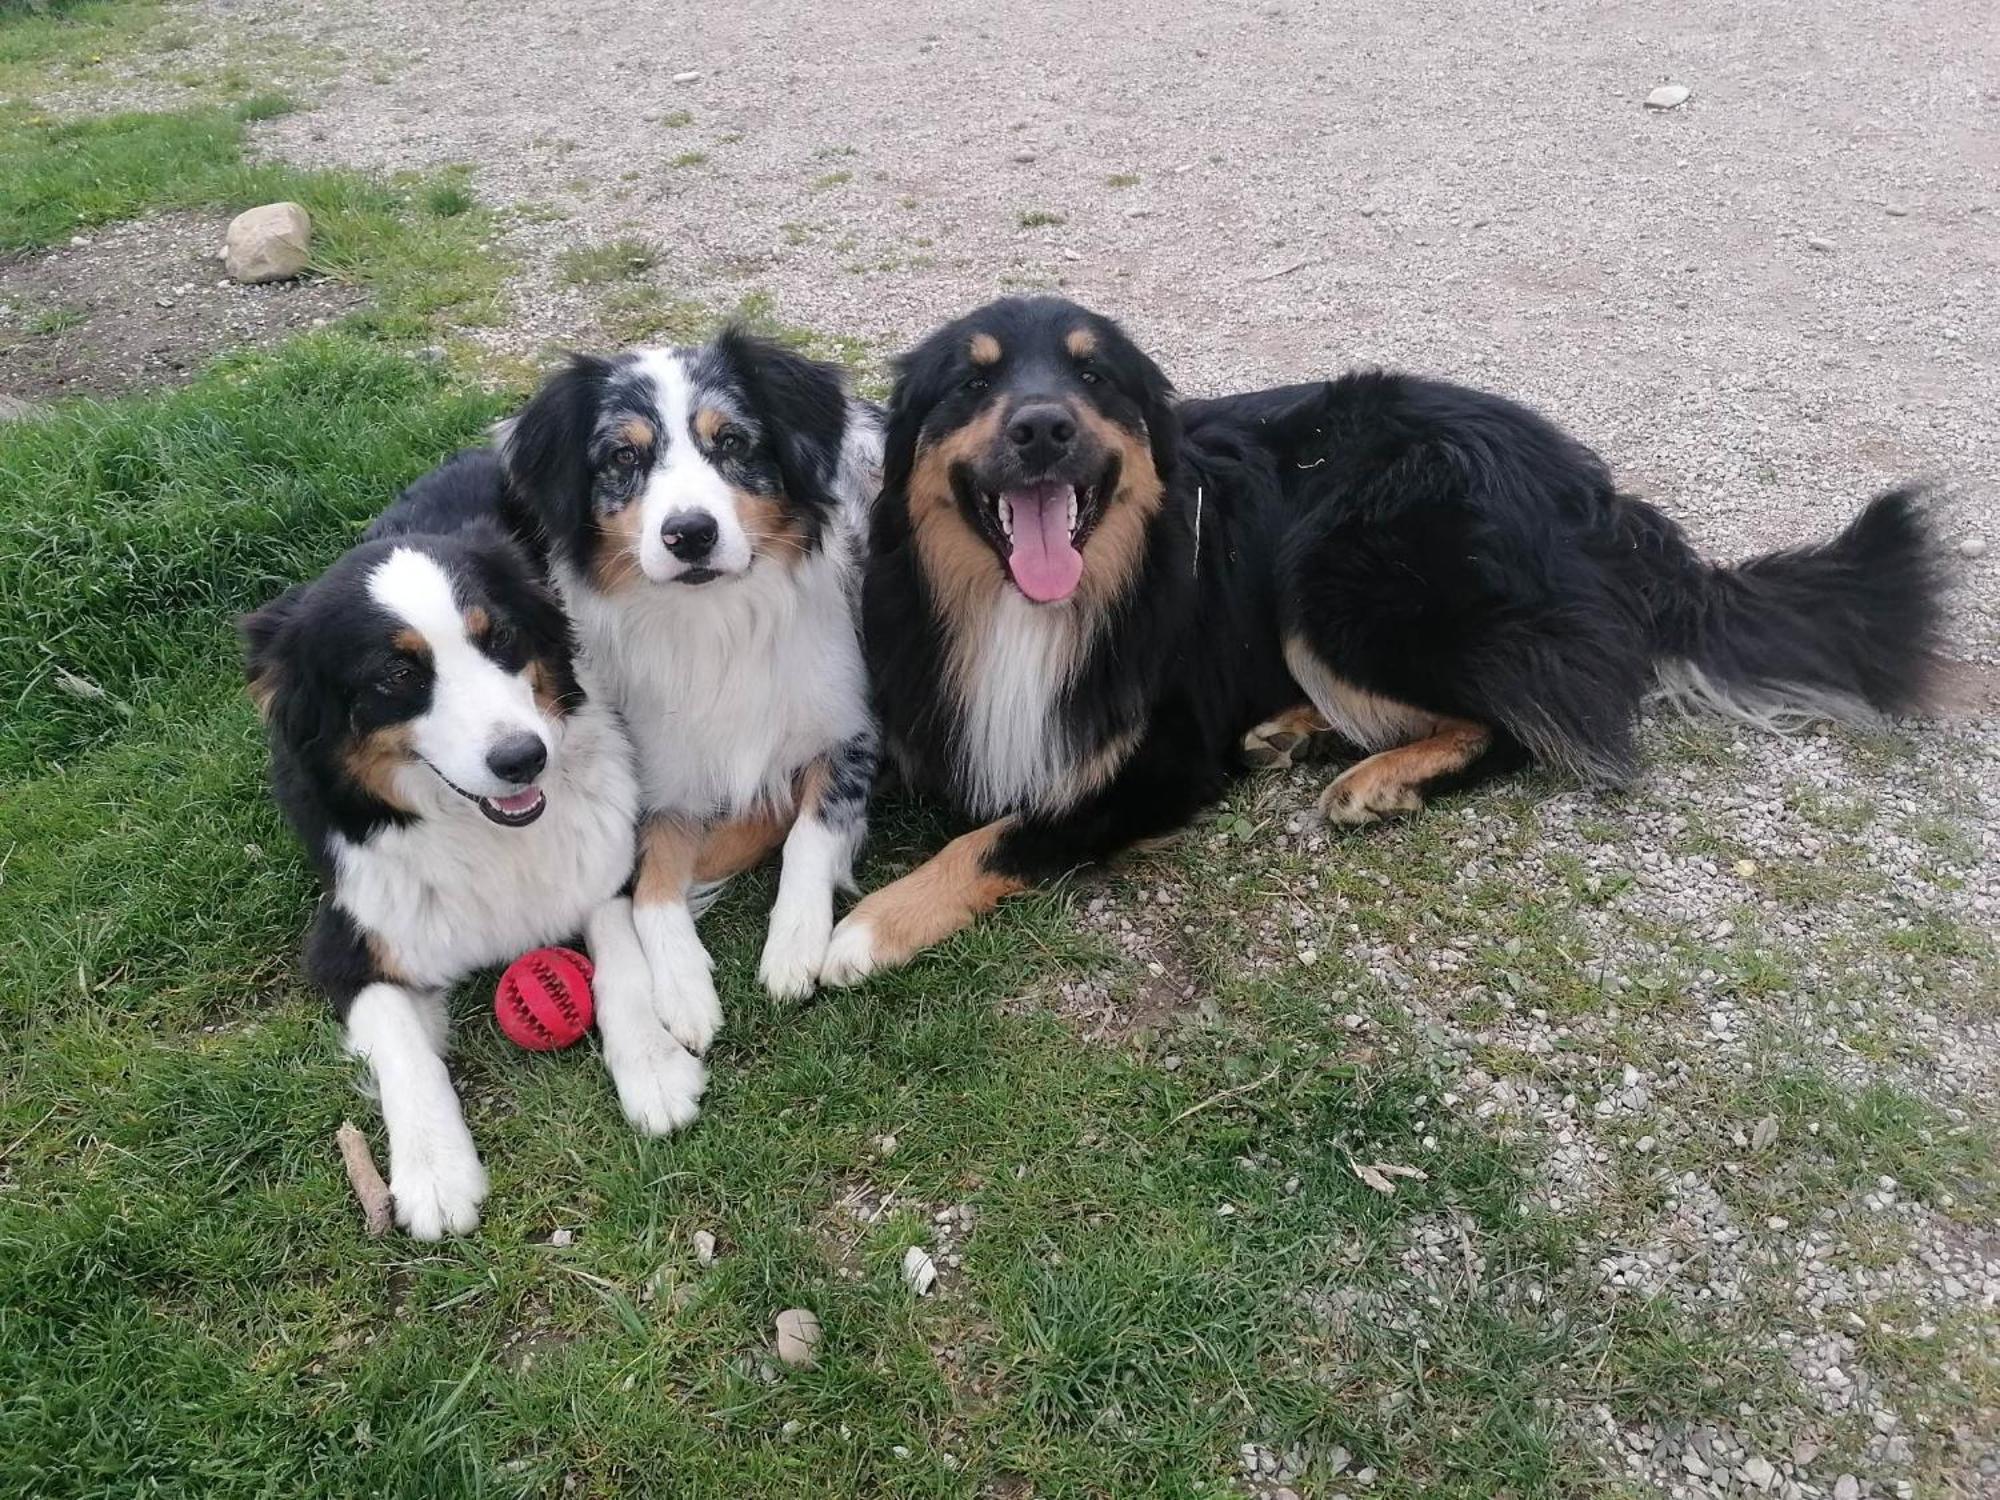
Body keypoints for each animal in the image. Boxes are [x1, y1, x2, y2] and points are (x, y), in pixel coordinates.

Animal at [247, 450, 708, 1248]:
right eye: (398, 675)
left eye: (500, 639)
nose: (523, 759)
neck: (486, 833)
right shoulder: (346, 943)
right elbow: (404, 1051)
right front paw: (435, 1173)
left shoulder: (608, 862)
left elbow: (620, 965)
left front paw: (653, 1070)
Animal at [500, 328, 884, 1048]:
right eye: (624, 455)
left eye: (731, 441)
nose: (690, 533)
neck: (718, 625)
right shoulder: (659, 779)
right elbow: (651, 884)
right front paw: (682, 988)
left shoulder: (851, 733)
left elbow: (810, 831)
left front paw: (795, 943)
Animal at [812, 294, 1936, 988]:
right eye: (971, 382)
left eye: (1095, 380)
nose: (1042, 427)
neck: (1025, 605)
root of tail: (1601, 501)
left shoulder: (1161, 763)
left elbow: (1002, 833)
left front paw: (865, 928)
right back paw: (1293, 731)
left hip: (1335, 573)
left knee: (1532, 726)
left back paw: (1376, 778)